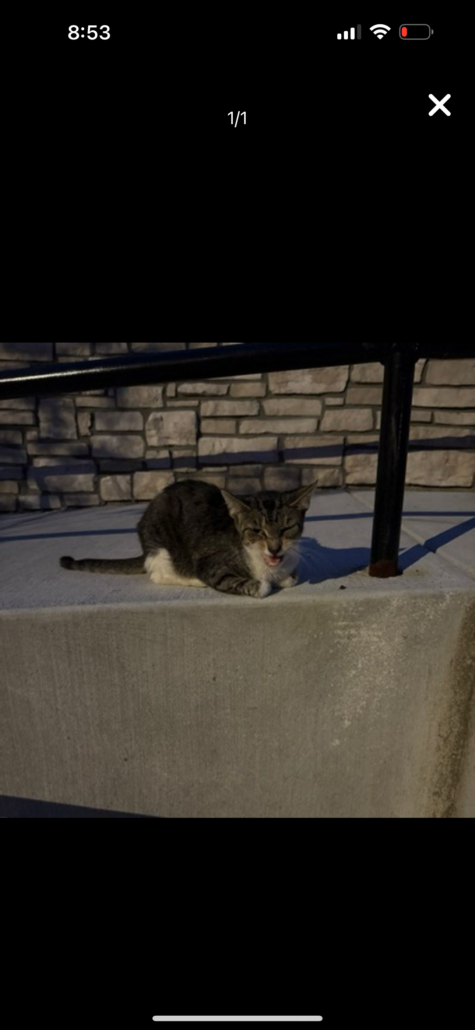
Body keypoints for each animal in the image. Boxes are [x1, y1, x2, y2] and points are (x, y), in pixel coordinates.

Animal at [60, 478, 317, 598]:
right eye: (257, 531)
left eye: (286, 529)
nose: (274, 548)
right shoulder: (211, 564)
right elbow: (257, 585)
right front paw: (261, 584)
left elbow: (291, 578)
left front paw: (285, 577)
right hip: (160, 541)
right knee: (158, 573)